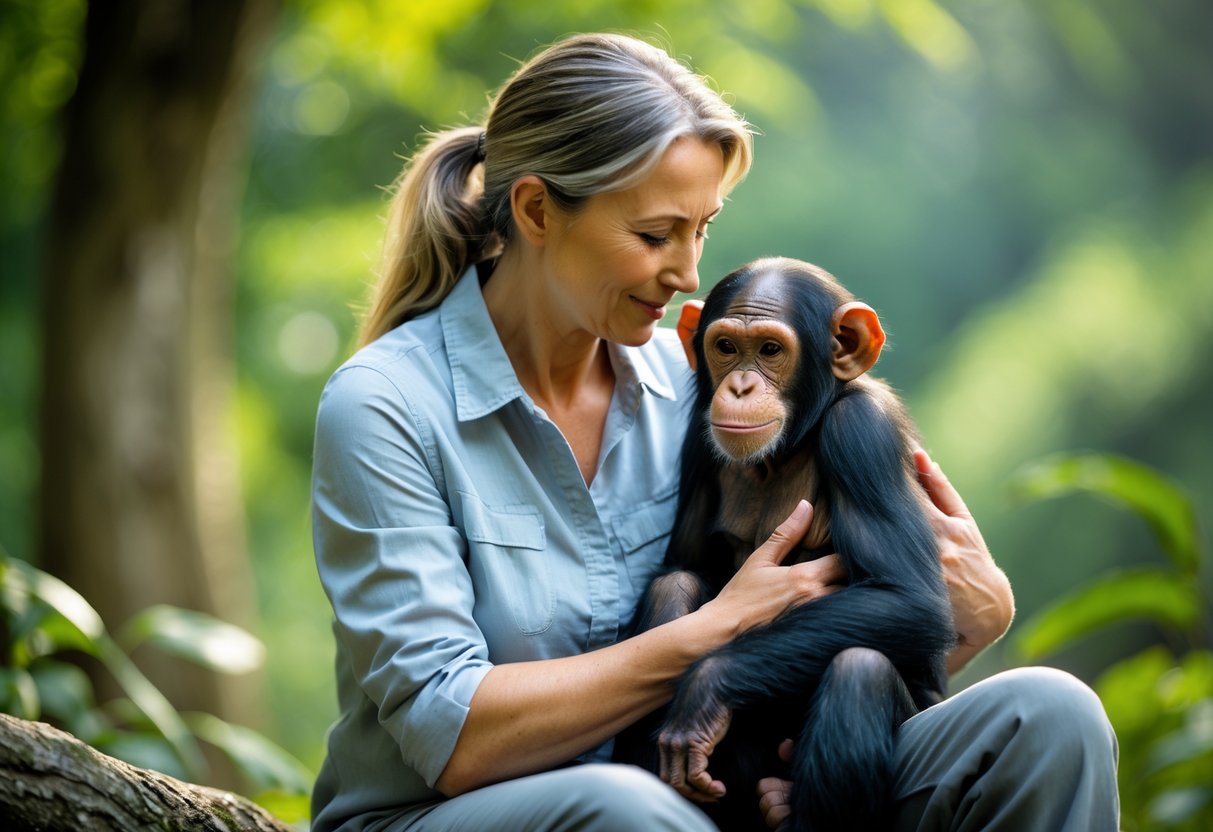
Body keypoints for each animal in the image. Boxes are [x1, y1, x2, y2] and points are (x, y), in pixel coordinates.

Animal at [614, 257, 955, 832]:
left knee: (859, 673)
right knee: (672, 588)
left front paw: (706, 689)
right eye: (726, 347)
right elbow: (682, 566)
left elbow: (909, 600)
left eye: (771, 350)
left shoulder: (861, 434)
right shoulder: (697, 444)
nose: (741, 386)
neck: (788, 447)